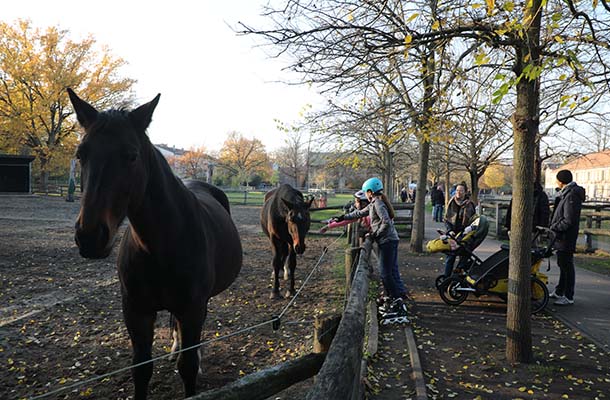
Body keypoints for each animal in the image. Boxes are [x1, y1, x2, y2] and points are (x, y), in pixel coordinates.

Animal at [67, 89, 241, 398]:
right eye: (80, 154)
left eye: (131, 155)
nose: (89, 237)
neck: (160, 245)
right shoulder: (136, 311)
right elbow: (141, 369)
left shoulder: (193, 308)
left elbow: (187, 367)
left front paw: (192, 363)